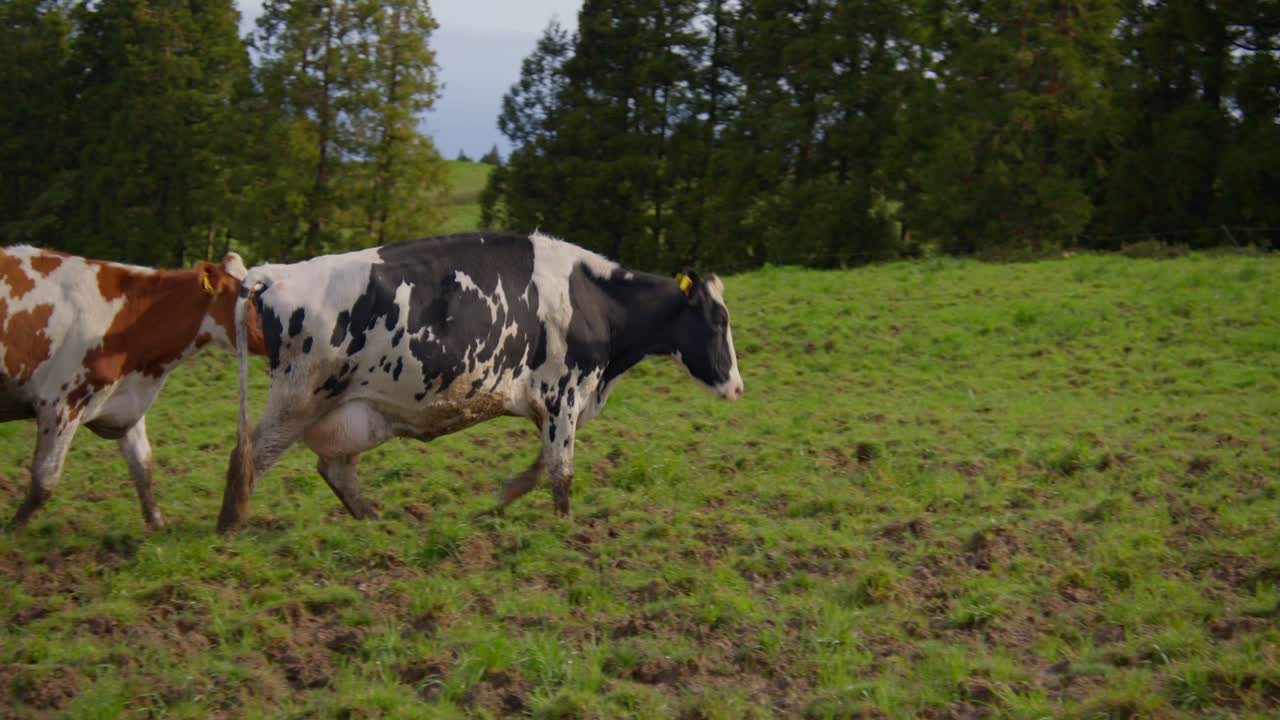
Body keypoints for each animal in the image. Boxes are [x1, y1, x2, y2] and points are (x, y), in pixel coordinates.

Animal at [0, 246, 264, 530]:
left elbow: (142, 466)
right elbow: (44, 481)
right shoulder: (61, 406)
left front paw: (158, 527)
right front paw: (13, 531)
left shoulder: (125, 402)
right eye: (252, 297)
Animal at [216, 231, 743, 532]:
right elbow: (561, 471)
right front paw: (567, 528)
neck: (595, 301)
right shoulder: (562, 395)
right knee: (249, 457)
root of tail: (275, 273)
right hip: (299, 397)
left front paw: (501, 500)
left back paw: (375, 521)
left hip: (354, 409)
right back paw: (230, 526)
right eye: (718, 320)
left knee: (335, 468)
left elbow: (542, 467)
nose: (737, 387)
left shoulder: (557, 405)